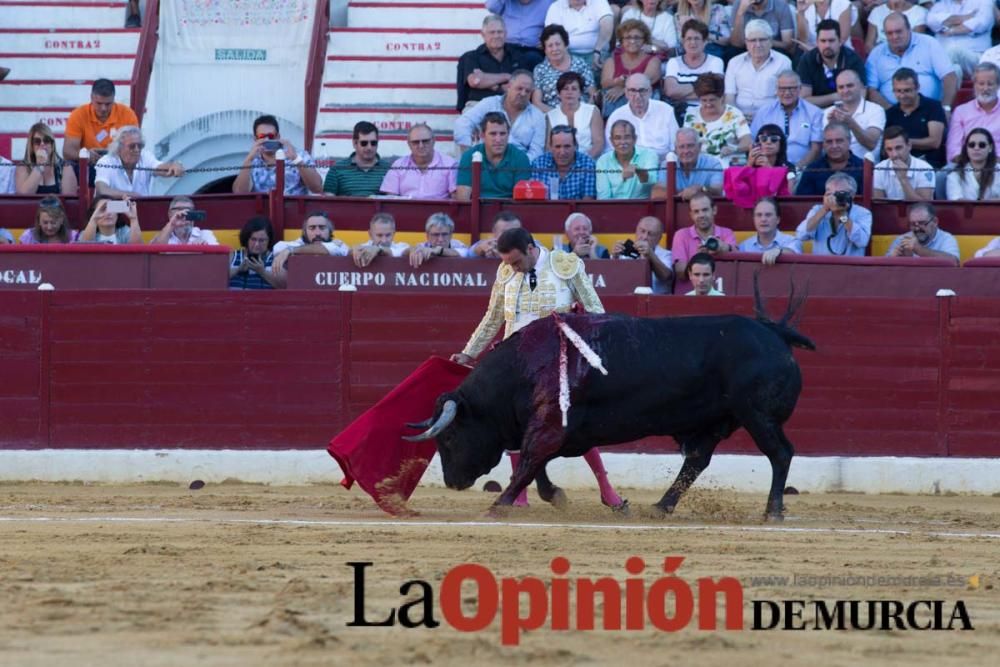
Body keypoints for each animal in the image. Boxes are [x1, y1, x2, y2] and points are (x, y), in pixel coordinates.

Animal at [404, 294, 812, 520]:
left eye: (449, 438)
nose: (453, 482)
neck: (522, 369)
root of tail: (774, 332)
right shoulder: (557, 429)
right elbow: (535, 465)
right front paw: (554, 496)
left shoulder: (550, 426)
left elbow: (529, 463)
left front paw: (499, 504)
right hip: (717, 419)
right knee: (697, 460)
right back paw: (661, 506)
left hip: (758, 416)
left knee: (780, 453)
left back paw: (773, 510)